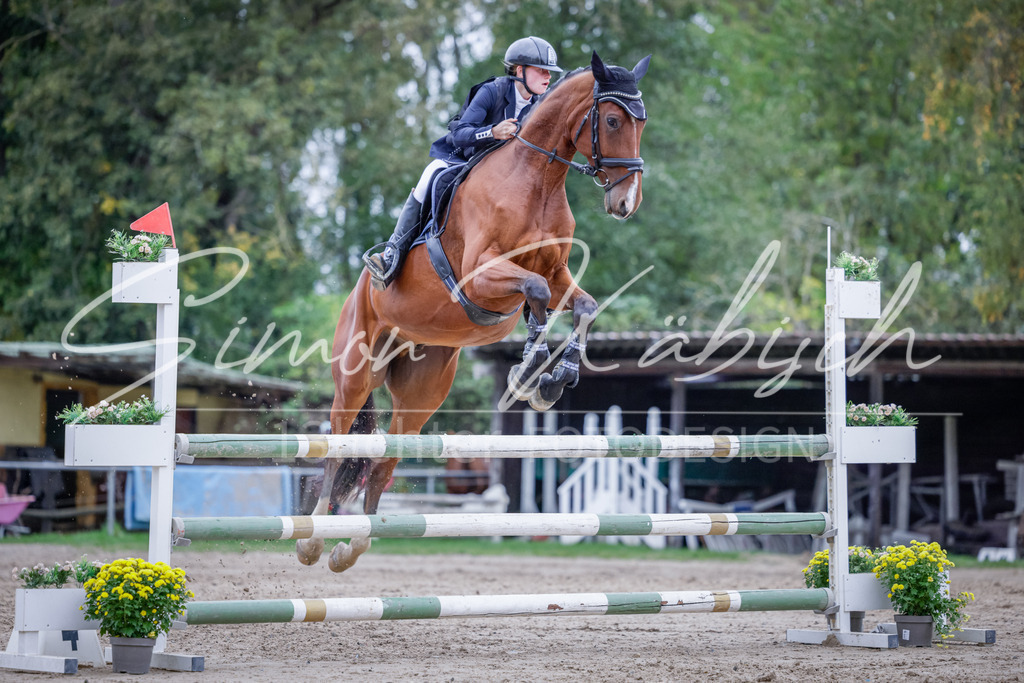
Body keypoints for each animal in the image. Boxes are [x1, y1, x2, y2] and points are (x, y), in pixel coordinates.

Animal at [297, 51, 651, 572]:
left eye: (642, 122)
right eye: (610, 120)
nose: (626, 203)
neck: (537, 178)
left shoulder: (558, 272)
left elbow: (581, 304)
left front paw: (555, 379)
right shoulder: (481, 277)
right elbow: (535, 293)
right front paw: (529, 372)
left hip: (422, 393)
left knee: (383, 461)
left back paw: (349, 548)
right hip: (354, 374)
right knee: (338, 447)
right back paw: (313, 540)